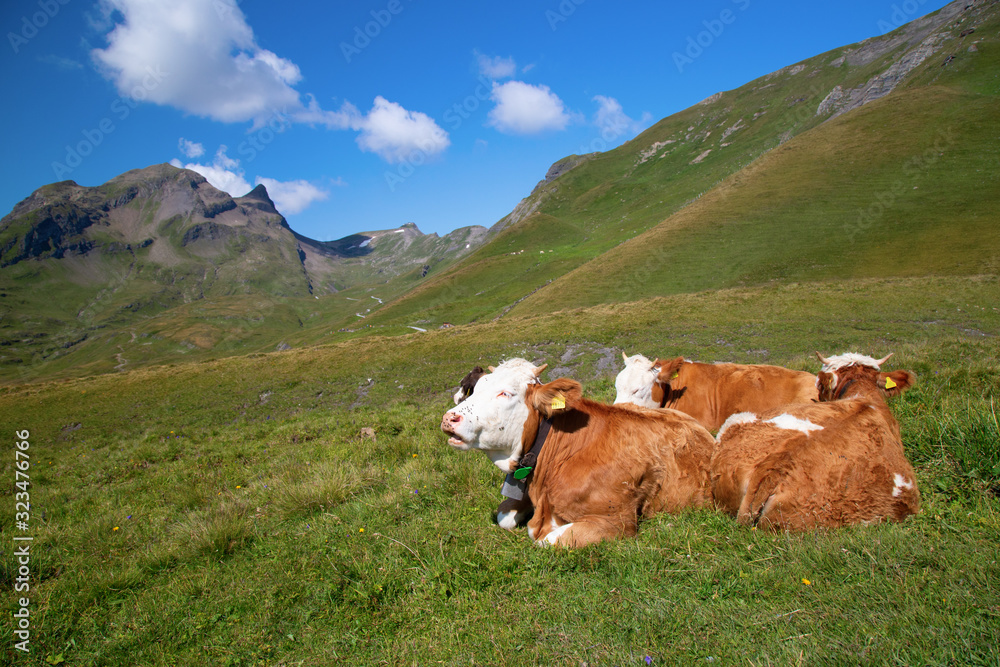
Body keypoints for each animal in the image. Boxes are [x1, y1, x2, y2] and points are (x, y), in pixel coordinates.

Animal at [440, 358, 715, 547]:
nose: (449, 418)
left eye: (506, 393)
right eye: (475, 389)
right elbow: (504, 517)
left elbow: (545, 538)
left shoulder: (617, 522)